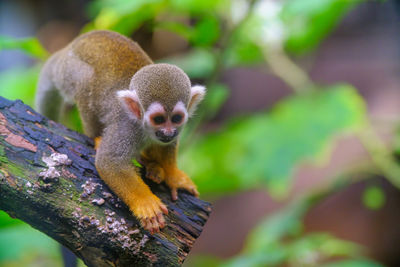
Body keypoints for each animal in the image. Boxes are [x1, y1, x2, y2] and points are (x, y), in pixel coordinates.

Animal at [34, 29, 206, 234]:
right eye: (158, 119)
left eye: (177, 118)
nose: (168, 132)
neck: (143, 127)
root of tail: (65, 49)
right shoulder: (126, 128)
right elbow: (109, 162)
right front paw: (145, 203)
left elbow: (167, 147)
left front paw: (174, 175)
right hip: (68, 71)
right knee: (85, 81)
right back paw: (97, 136)